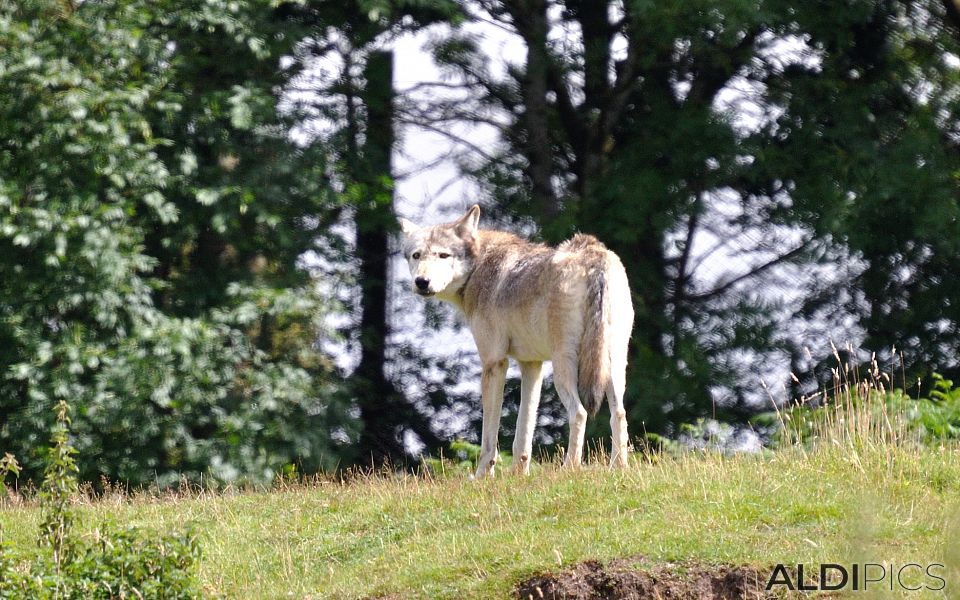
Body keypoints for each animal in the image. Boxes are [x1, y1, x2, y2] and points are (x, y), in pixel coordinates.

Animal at [402, 206, 632, 478]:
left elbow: (489, 437)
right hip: (612, 366)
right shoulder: (531, 366)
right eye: (416, 255)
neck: (477, 269)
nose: (421, 282)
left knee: (579, 413)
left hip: (563, 368)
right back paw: (619, 468)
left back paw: (569, 469)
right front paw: (519, 476)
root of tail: (595, 256)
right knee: (619, 413)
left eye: (443, 255)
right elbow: (523, 433)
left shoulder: (494, 363)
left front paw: (482, 476)